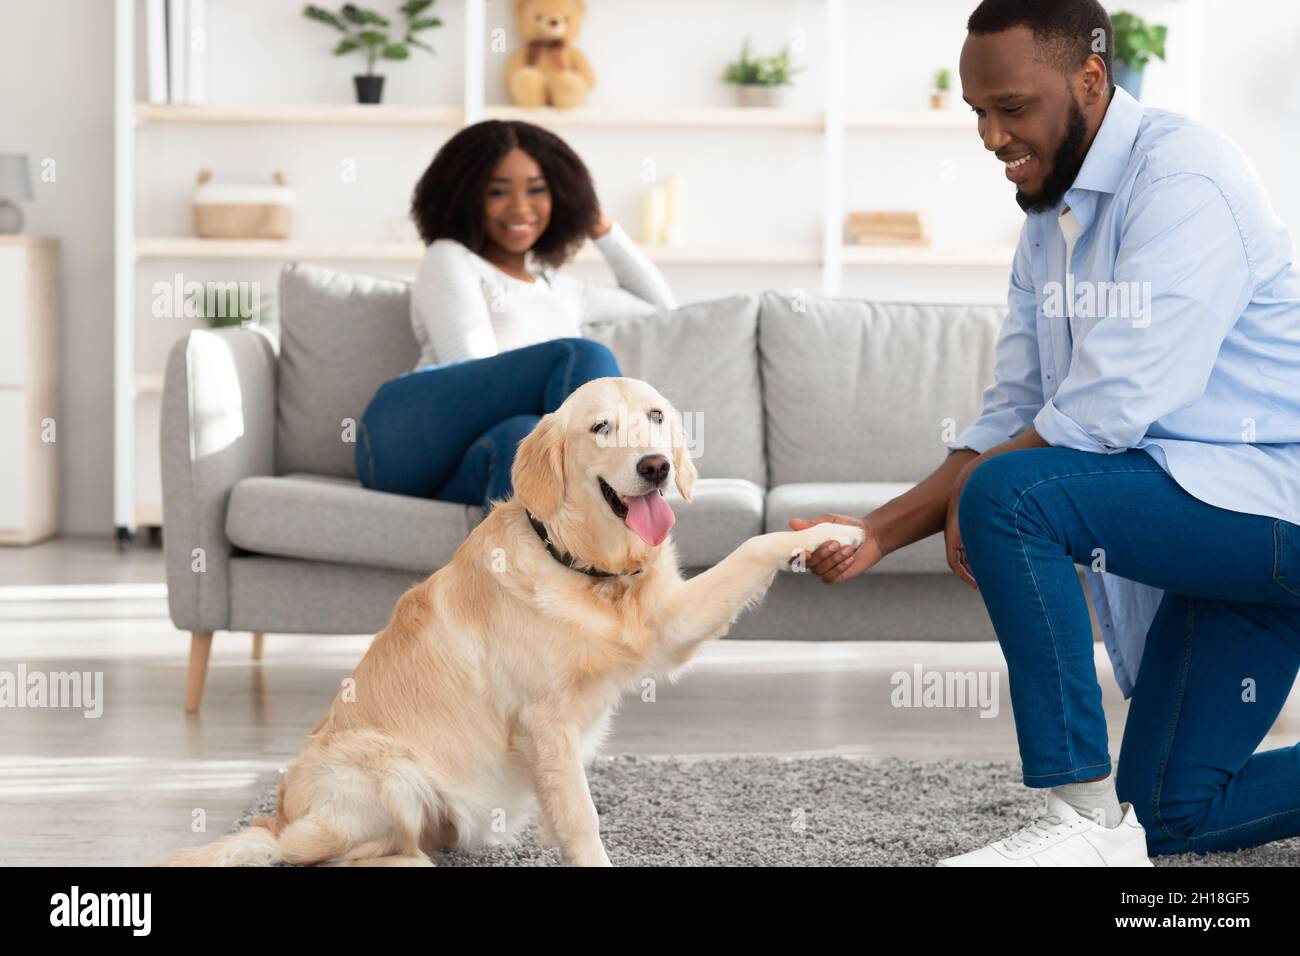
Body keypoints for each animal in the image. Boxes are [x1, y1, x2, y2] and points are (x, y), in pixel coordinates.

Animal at [157, 379, 857, 868]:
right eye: (601, 427)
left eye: (656, 417)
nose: (656, 465)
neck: (583, 565)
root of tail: (277, 814)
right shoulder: (543, 722)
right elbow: (581, 817)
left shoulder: (668, 624)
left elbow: (753, 547)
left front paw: (831, 532)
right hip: (387, 771)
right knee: (330, 856)